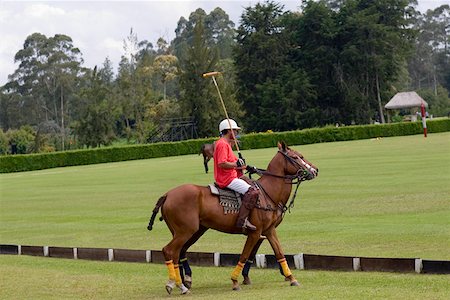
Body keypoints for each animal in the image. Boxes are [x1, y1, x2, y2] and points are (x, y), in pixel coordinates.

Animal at [148, 142, 316, 294]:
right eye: (297, 157)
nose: (315, 170)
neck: (268, 193)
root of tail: (167, 194)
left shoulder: (269, 230)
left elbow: (279, 253)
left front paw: (292, 278)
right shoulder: (255, 232)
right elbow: (244, 255)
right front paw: (235, 281)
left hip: (192, 230)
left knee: (178, 252)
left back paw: (182, 283)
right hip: (186, 230)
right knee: (169, 250)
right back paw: (176, 285)